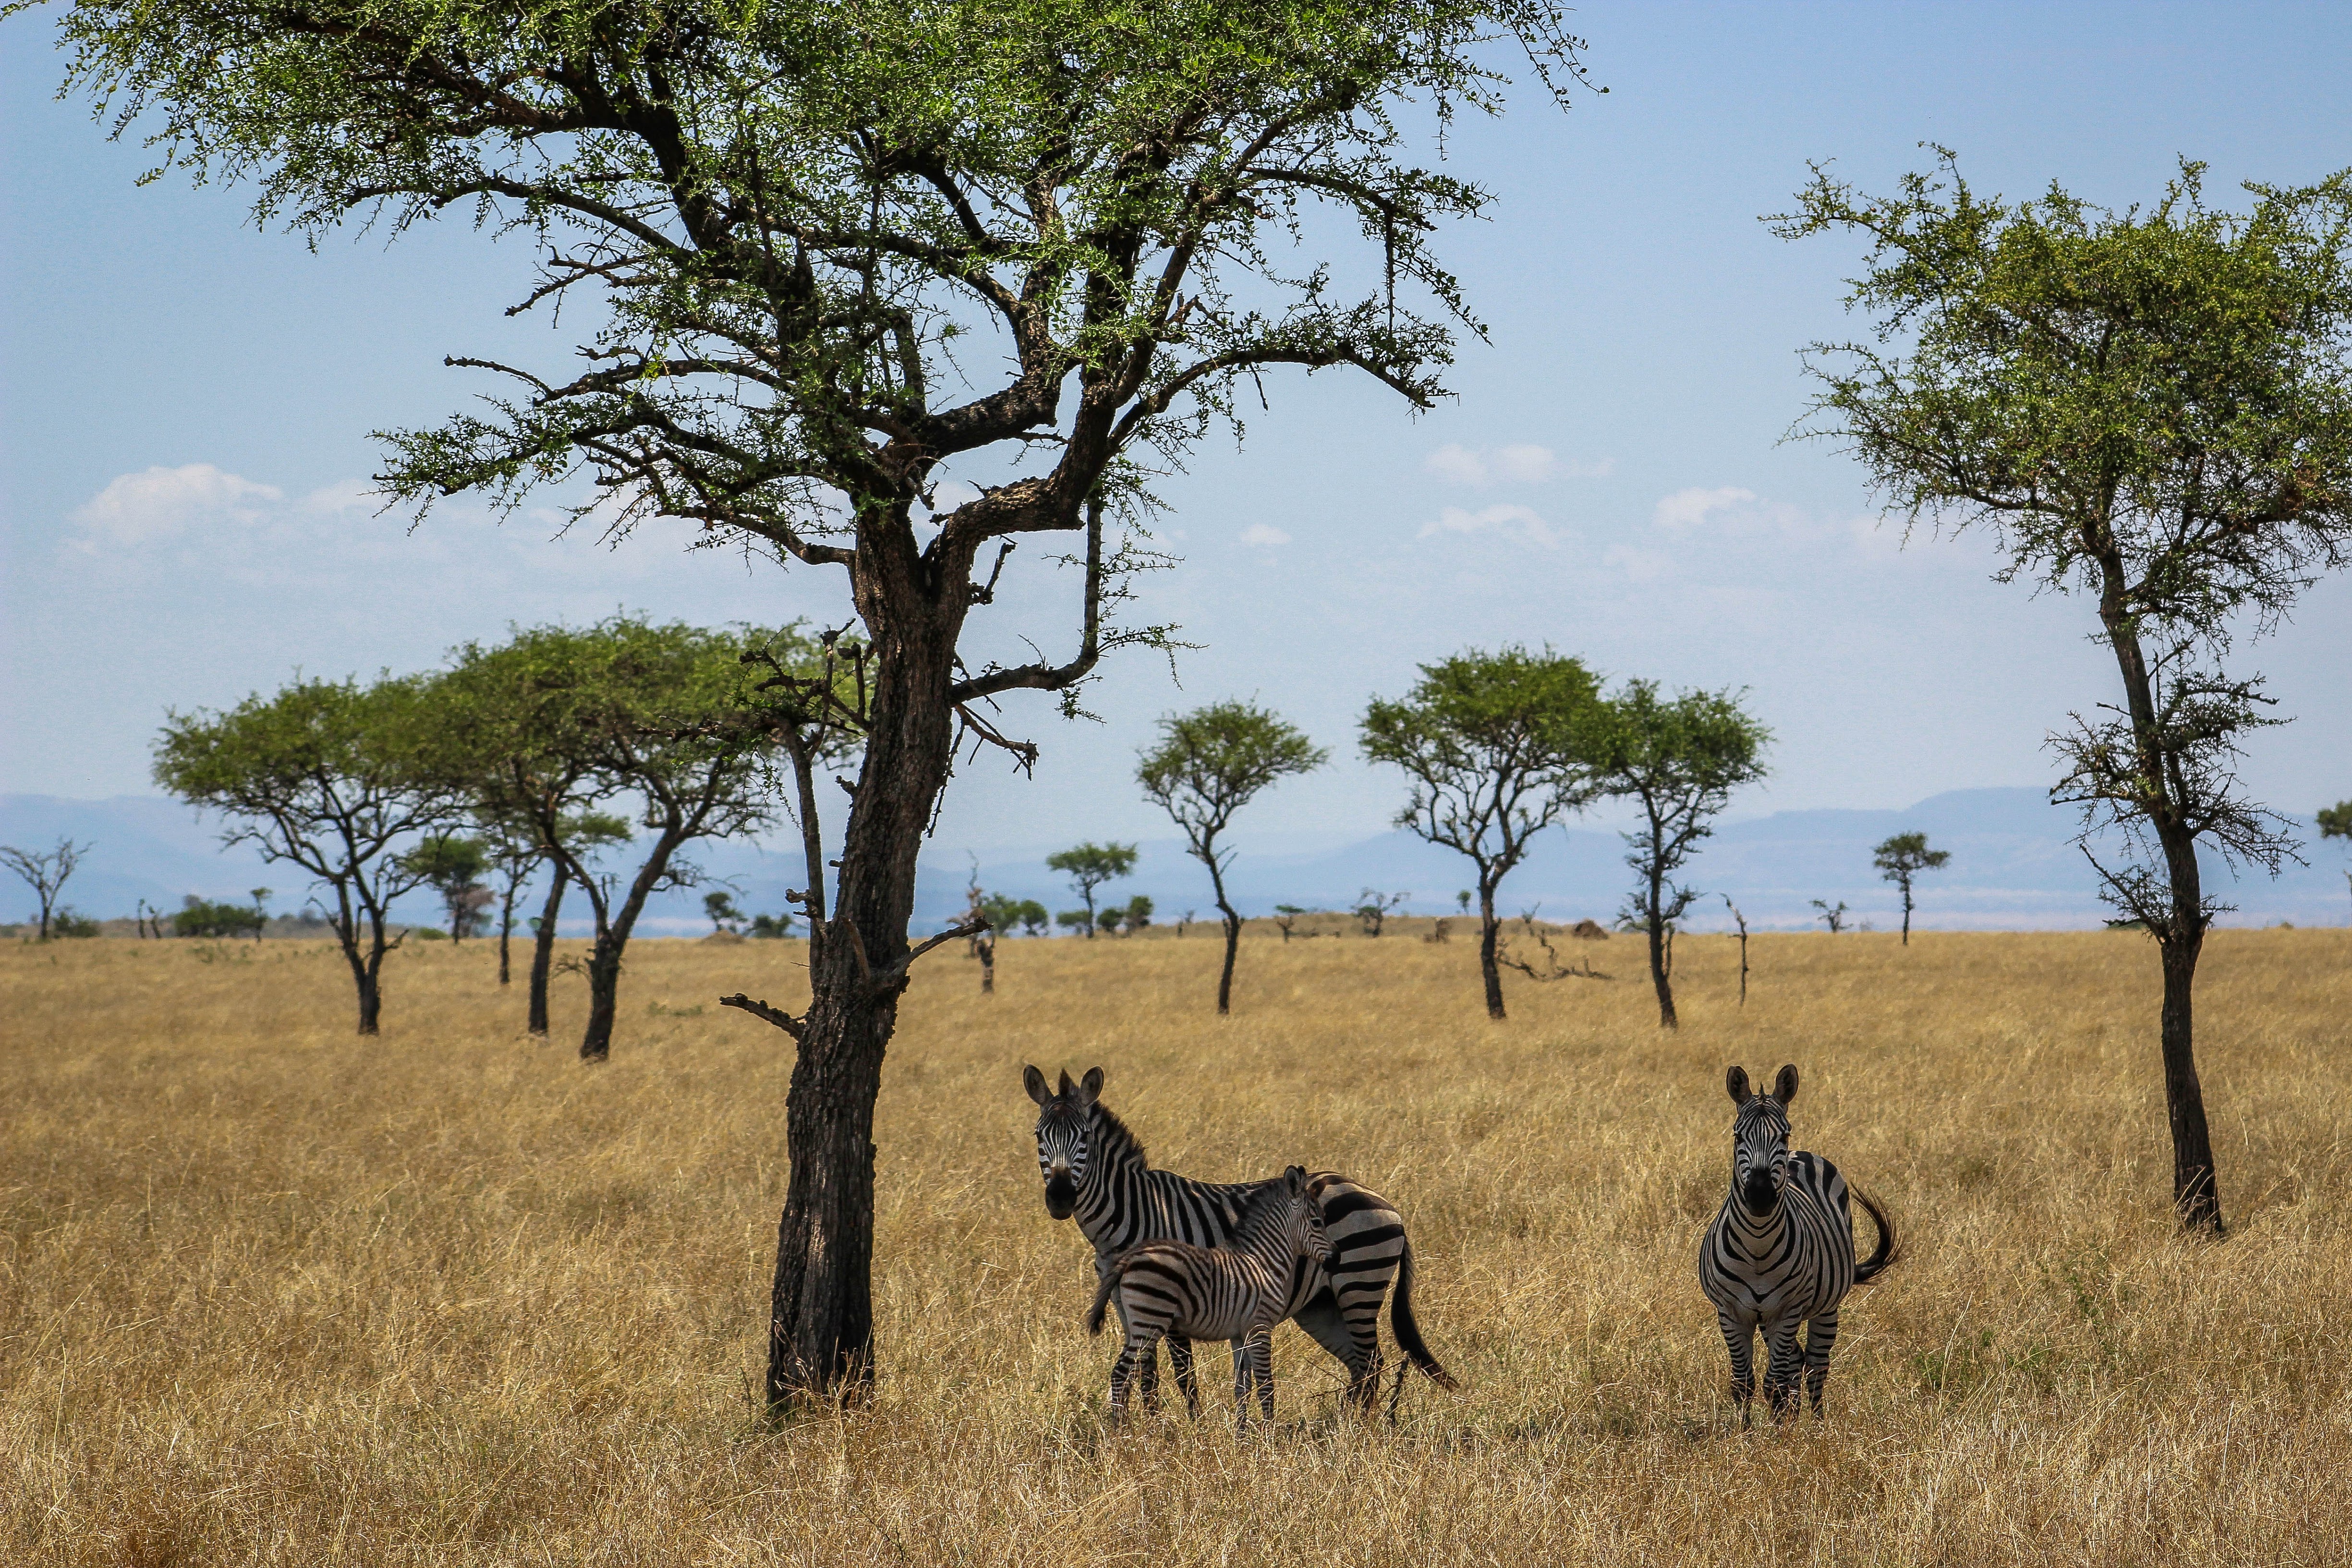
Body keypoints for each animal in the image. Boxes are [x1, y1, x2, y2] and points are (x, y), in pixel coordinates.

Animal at [1086, 1161, 1336, 1429]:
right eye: (1317, 1222)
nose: (1337, 1257)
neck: (1264, 1261)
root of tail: (1129, 1258)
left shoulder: (1240, 1334)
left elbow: (1242, 1387)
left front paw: (1241, 1433)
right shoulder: (1260, 1326)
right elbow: (1266, 1386)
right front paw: (1269, 1432)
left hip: (1135, 1322)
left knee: (1124, 1374)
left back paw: (1123, 1428)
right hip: (1150, 1320)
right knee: (1121, 1374)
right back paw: (1120, 1432)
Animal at [1703, 1067, 1900, 1420]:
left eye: (1784, 1136)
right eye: (1737, 1137)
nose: (1760, 1197)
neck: (1757, 1249)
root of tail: (1804, 1154)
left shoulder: (1789, 1308)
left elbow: (1773, 1385)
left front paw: (1780, 1433)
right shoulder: (1729, 1312)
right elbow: (1743, 1384)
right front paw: (1744, 1432)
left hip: (1824, 1308)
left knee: (1816, 1366)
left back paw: (1817, 1424)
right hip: (1767, 1319)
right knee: (1795, 1363)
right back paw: (1795, 1418)